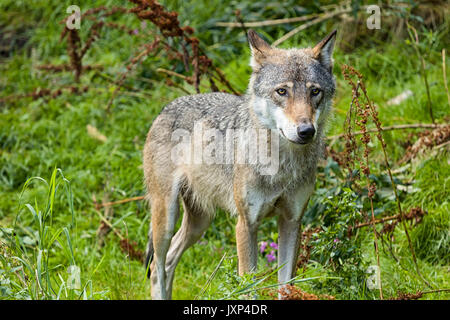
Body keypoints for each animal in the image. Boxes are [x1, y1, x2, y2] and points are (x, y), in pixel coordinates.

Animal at [142, 28, 336, 298]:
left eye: (315, 92)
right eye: (282, 92)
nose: (306, 131)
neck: (282, 166)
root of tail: (166, 108)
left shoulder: (292, 221)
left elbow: (286, 287)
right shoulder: (246, 225)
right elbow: (248, 287)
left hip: (199, 223)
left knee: (170, 261)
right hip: (166, 219)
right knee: (156, 269)